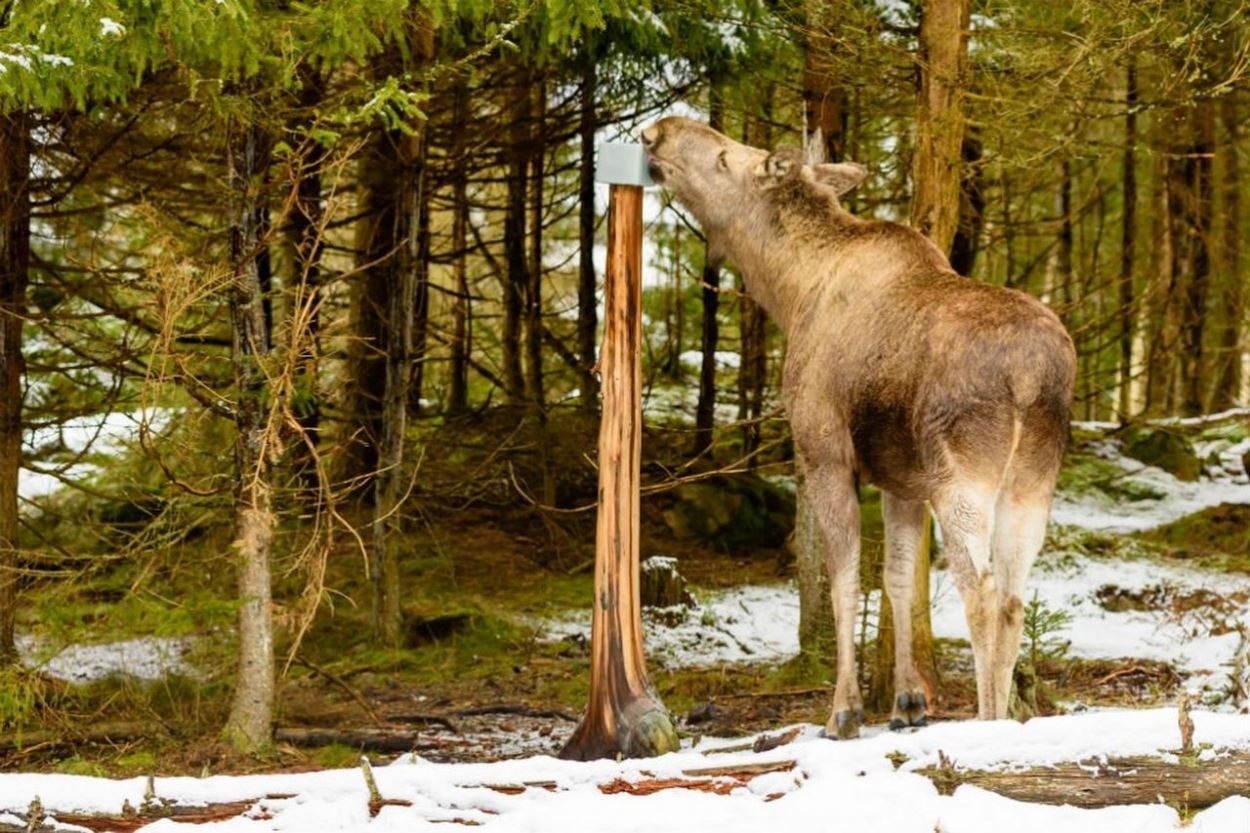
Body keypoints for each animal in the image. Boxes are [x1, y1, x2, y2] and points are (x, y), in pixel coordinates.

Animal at [645, 115, 1075, 735]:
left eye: (726, 157)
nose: (659, 130)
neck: (789, 291)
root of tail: (1031, 375)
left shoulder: (824, 452)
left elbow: (844, 580)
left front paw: (843, 709)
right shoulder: (902, 480)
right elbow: (897, 579)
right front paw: (907, 701)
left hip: (962, 477)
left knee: (983, 592)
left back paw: (986, 720)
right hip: (1031, 483)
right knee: (1016, 597)